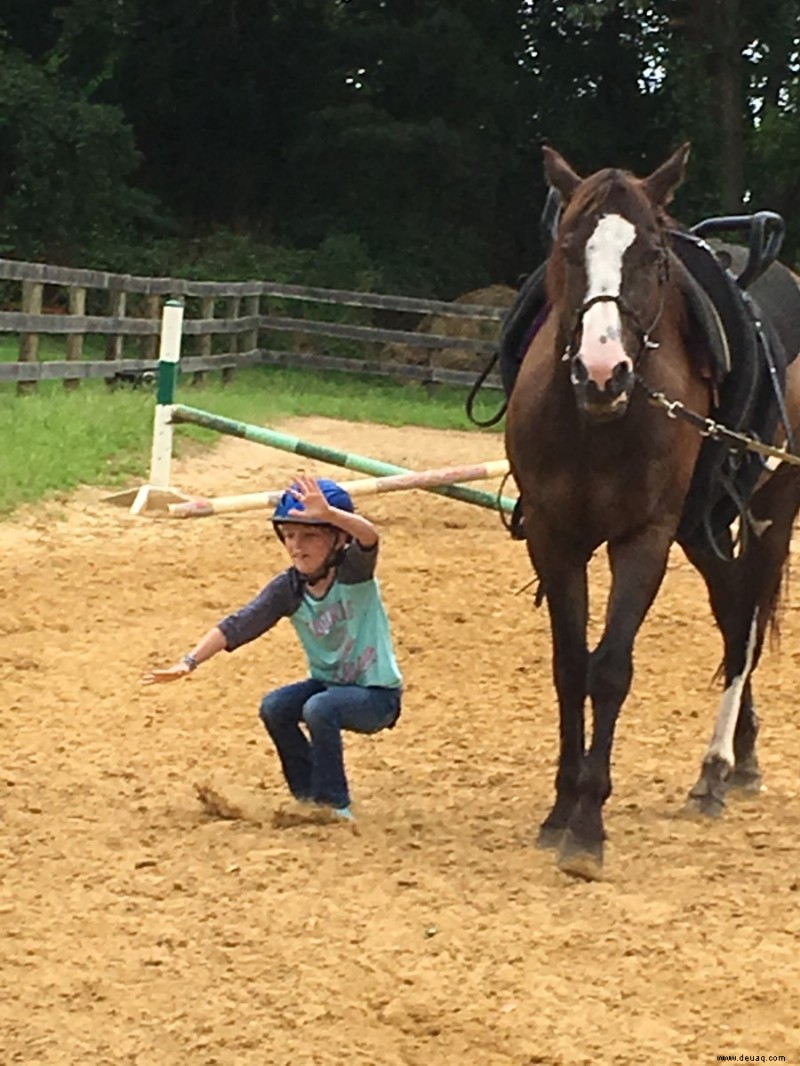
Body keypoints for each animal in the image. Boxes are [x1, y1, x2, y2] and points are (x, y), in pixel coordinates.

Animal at [507, 148, 800, 882]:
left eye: (654, 255)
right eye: (567, 246)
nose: (602, 369)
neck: (596, 423)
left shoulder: (644, 539)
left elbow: (610, 670)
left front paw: (588, 826)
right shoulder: (554, 537)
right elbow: (569, 666)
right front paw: (560, 809)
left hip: (767, 514)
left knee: (745, 628)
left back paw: (716, 766)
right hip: (704, 530)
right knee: (733, 614)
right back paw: (736, 761)